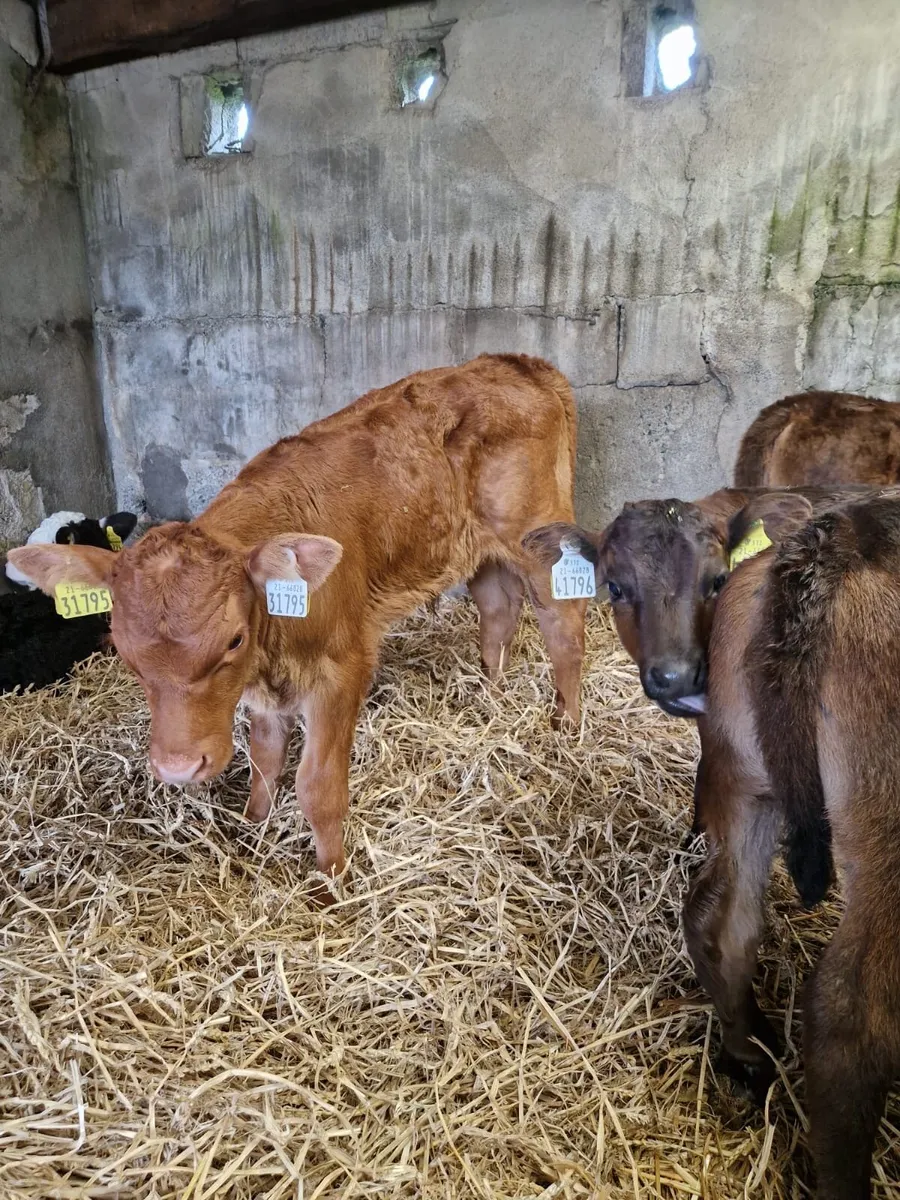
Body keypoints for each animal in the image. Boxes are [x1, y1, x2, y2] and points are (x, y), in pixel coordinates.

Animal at [9, 354, 589, 891]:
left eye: (233, 640)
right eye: (126, 654)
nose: (177, 769)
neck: (271, 650)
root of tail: (516, 363)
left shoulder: (343, 671)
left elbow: (318, 786)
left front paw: (333, 879)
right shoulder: (266, 692)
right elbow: (265, 759)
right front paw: (253, 827)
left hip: (538, 535)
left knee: (562, 625)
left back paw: (567, 722)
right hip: (474, 546)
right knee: (497, 607)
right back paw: (491, 691)